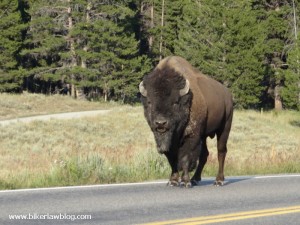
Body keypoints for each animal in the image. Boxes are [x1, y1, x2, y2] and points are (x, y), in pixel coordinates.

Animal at [139, 56, 233, 188]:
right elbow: (172, 159)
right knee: (205, 154)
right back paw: (195, 179)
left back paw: (218, 180)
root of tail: (227, 94)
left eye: (175, 102)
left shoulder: (191, 136)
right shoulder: (169, 142)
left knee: (221, 151)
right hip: (204, 135)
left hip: (225, 127)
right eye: (149, 102)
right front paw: (173, 181)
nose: (161, 123)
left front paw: (185, 181)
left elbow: (185, 157)